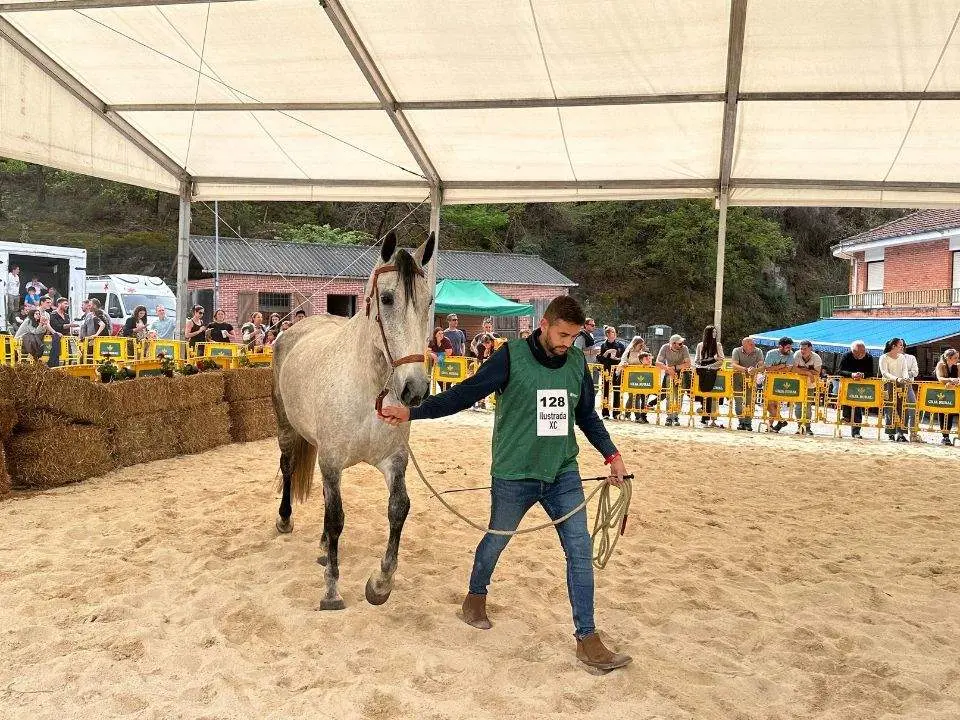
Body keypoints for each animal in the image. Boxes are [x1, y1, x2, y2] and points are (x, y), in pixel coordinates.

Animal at [271, 230, 435, 610]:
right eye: (387, 298)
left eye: (430, 300)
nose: (415, 389)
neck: (368, 389)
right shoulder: (331, 462)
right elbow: (336, 519)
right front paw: (331, 591)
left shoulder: (394, 460)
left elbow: (398, 508)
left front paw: (380, 584)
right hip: (286, 427)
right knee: (288, 466)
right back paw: (285, 520)